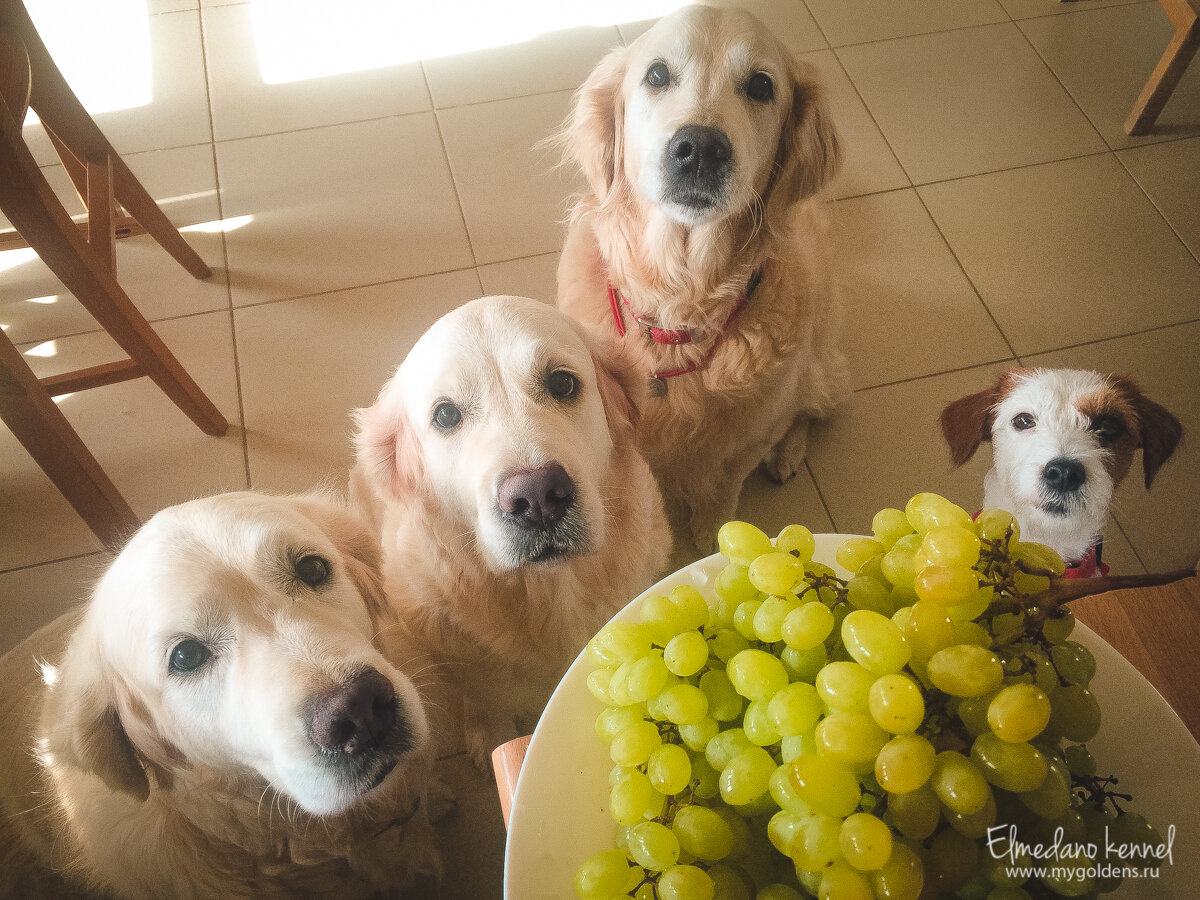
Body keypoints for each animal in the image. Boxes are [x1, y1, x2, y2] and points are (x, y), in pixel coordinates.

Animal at [355, 296, 672, 768]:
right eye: (445, 414)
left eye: (562, 383)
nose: (538, 497)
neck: (548, 594)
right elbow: (485, 697)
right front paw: (489, 732)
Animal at [556, 3, 849, 554]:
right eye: (656, 74)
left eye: (760, 86)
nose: (699, 148)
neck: (679, 294)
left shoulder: (747, 437)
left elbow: (724, 490)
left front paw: (714, 538)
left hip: (821, 366)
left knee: (805, 410)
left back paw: (788, 453)